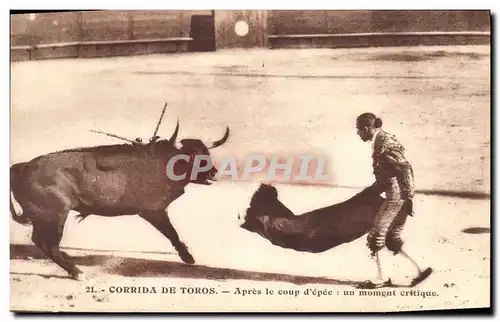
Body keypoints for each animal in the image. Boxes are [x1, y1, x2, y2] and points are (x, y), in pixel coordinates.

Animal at [9, 123, 229, 280]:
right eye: (193, 156)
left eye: (206, 153)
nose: (213, 173)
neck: (164, 162)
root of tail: (23, 167)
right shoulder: (153, 211)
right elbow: (172, 233)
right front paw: (188, 257)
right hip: (56, 215)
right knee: (48, 244)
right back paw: (77, 272)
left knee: (41, 241)